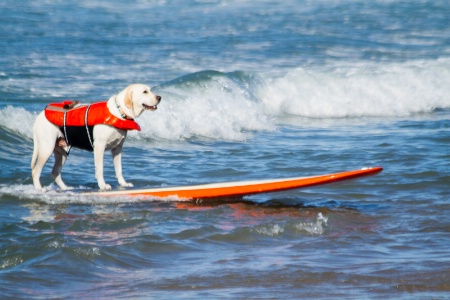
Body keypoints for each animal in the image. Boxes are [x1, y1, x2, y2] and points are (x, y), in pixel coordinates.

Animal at [29, 83, 161, 191]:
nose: (159, 97)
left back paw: (65, 188)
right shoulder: (99, 146)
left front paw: (123, 184)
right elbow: (100, 168)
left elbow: (119, 169)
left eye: (150, 90)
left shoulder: (118, 148)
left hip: (62, 151)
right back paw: (39, 189)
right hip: (47, 148)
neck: (119, 112)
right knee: (36, 170)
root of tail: (39, 116)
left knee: (55, 172)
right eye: (145, 91)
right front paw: (103, 185)